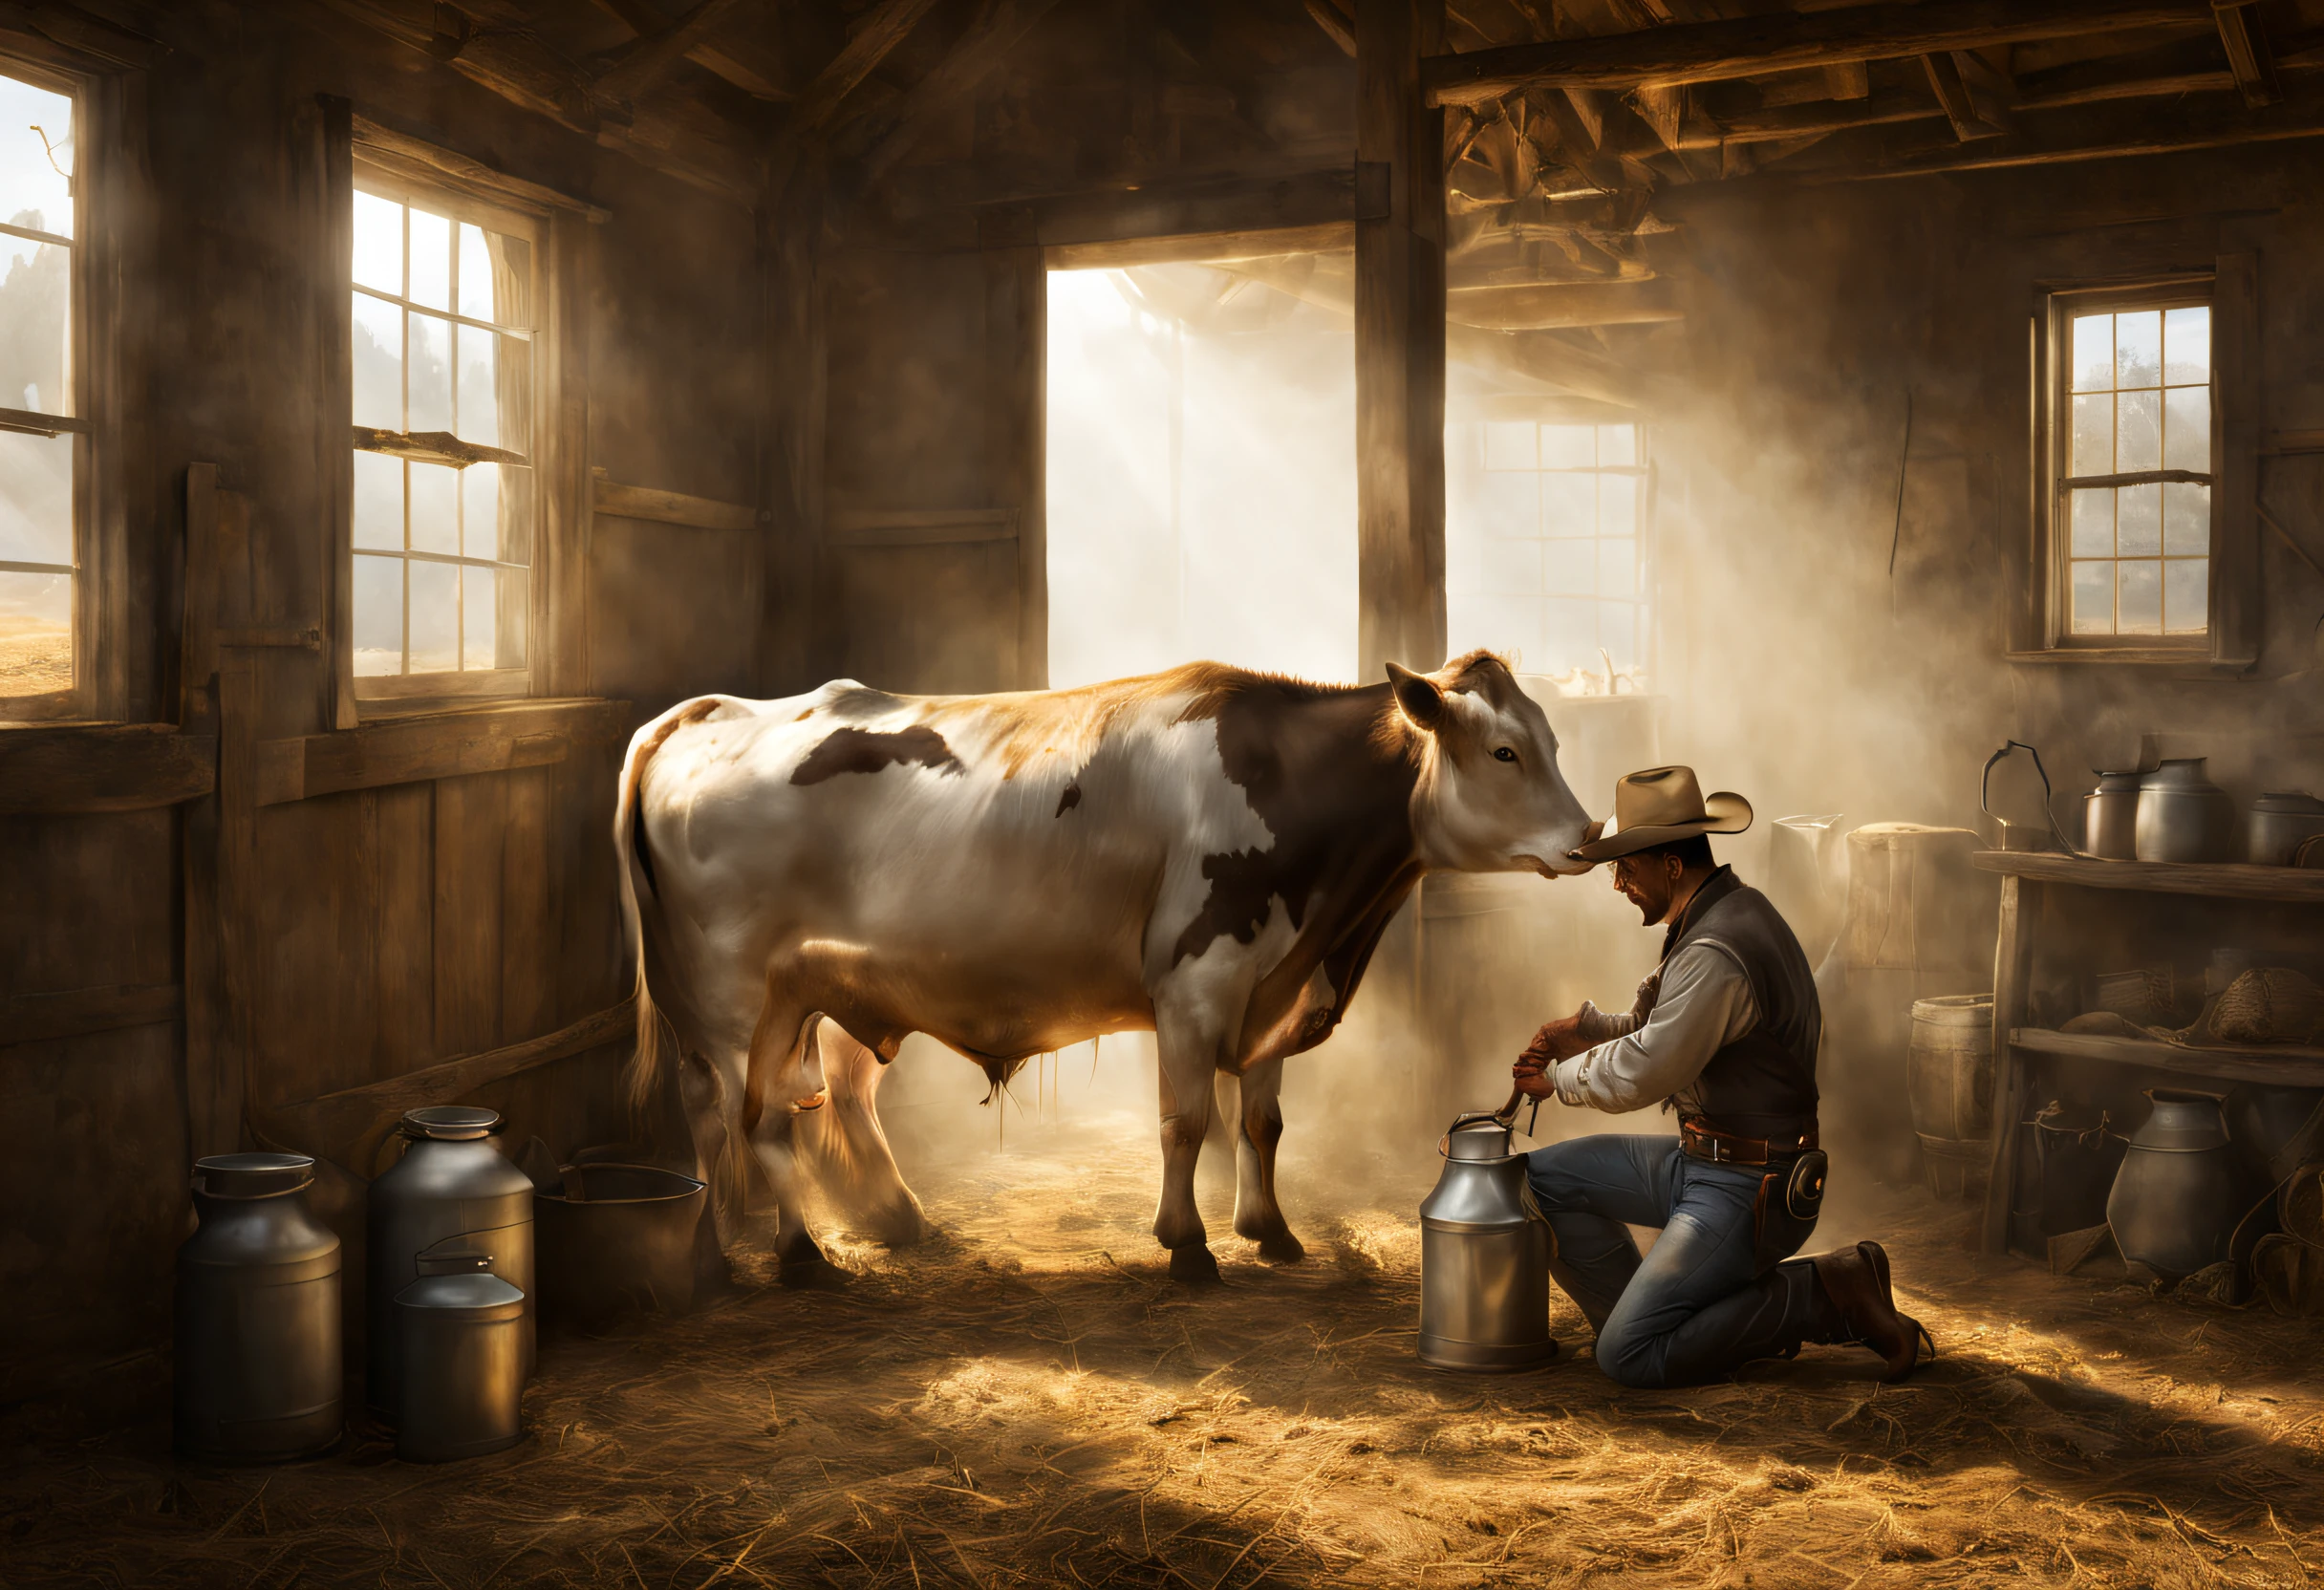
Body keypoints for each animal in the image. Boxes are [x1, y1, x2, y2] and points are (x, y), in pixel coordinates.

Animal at [613, 646, 1599, 1282]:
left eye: (1553, 738)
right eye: (1504, 750)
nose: (1588, 835)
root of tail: (700, 713)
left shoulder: (1273, 987)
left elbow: (1264, 1122)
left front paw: (1271, 1232)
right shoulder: (1196, 985)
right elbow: (1186, 1120)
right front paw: (1188, 1244)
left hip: (785, 999)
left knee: (744, 1110)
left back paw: (748, 1244)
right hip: (742, 1002)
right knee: (764, 1120)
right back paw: (799, 1253)